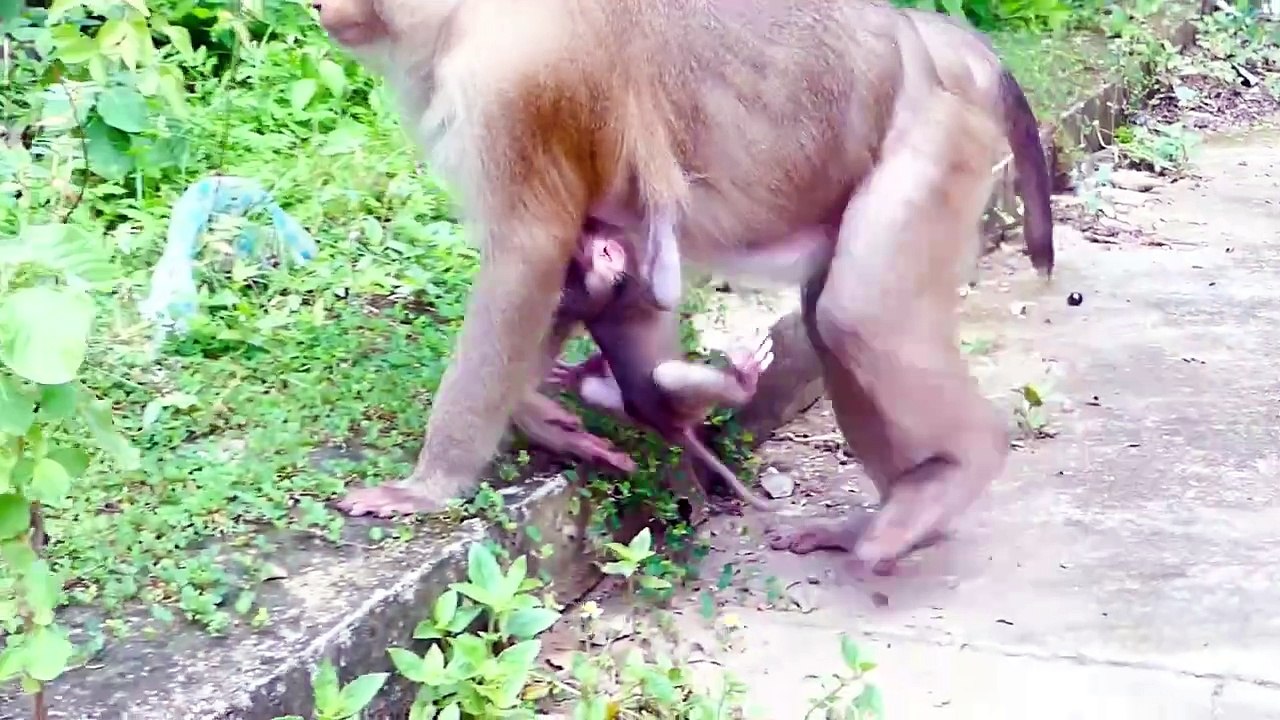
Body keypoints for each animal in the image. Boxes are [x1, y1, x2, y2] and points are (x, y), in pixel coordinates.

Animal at [316, 0, 1021, 573]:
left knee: (857, 316)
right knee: (828, 325)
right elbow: (562, 279)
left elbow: (527, 255)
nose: (323, 3)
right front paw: (543, 418)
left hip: (937, 148)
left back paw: (958, 471)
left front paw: (429, 485)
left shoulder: (514, 88)